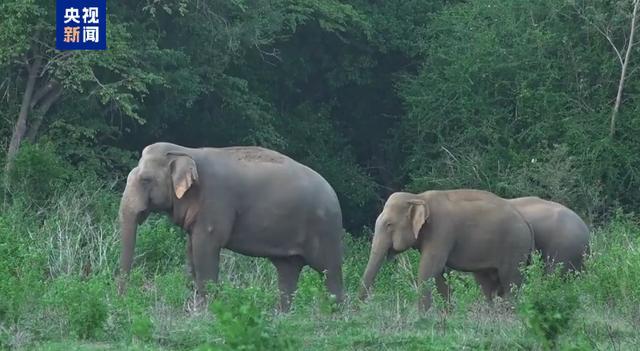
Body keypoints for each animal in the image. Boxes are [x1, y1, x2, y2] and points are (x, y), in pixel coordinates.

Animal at [117, 142, 342, 312]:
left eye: (146, 180)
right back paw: (283, 316)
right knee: (288, 271)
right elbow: (191, 249)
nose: (123, 299)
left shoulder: (215, 202)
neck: (187, 151)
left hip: (325, 229)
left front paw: (205, 311)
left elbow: (205, 248)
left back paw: (335, 316)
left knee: (330, 271)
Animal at [360, 190, 536, 310]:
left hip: (515, 247)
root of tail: (526, 222)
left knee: (510, 281)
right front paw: (447, 313)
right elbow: (439, 272)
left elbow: (429, 268)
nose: (359, 308)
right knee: (486, 284)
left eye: (389, 225)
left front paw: (422, 316)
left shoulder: (441, 230)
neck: (419, 197)